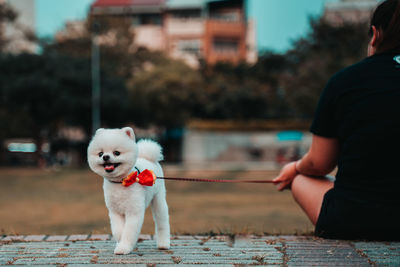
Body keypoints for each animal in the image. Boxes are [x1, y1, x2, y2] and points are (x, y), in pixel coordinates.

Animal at [86, 127, 170, 255]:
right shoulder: (115, 211)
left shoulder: (133, 211)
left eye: (116, 153)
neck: (120, 182)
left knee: (162, 221)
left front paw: (123, 248)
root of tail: (148, 158)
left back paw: (164, 244)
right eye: (100, 153)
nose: (105, 157)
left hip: (158, 199)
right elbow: (118, 231)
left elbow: (129, 232)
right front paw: (120, 242)